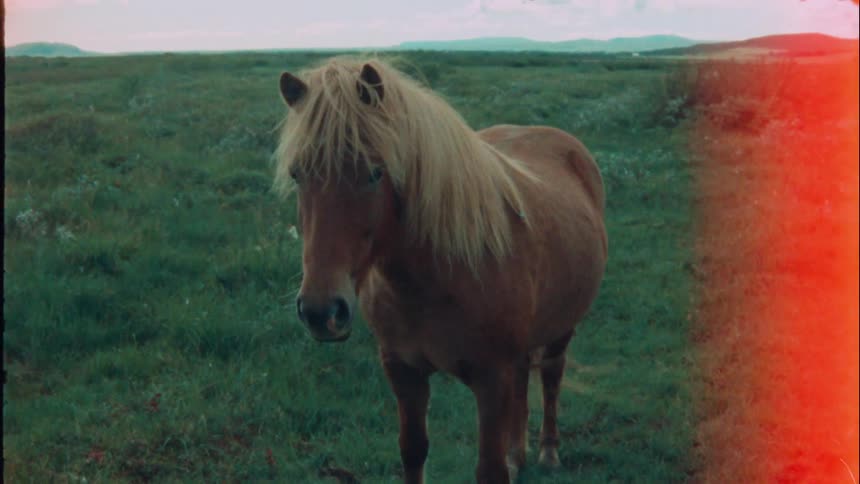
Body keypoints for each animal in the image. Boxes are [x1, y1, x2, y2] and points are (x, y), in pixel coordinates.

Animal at [274, 57, 608, 483]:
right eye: (297, 174)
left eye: (375, 172)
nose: (321, 311)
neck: (436, 278)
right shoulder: (404, 372)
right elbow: (413, 451)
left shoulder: (491, 379)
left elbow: (490, 469)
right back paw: (518, 454)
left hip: (562, 328)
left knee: (551, 375)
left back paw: (548, 450)